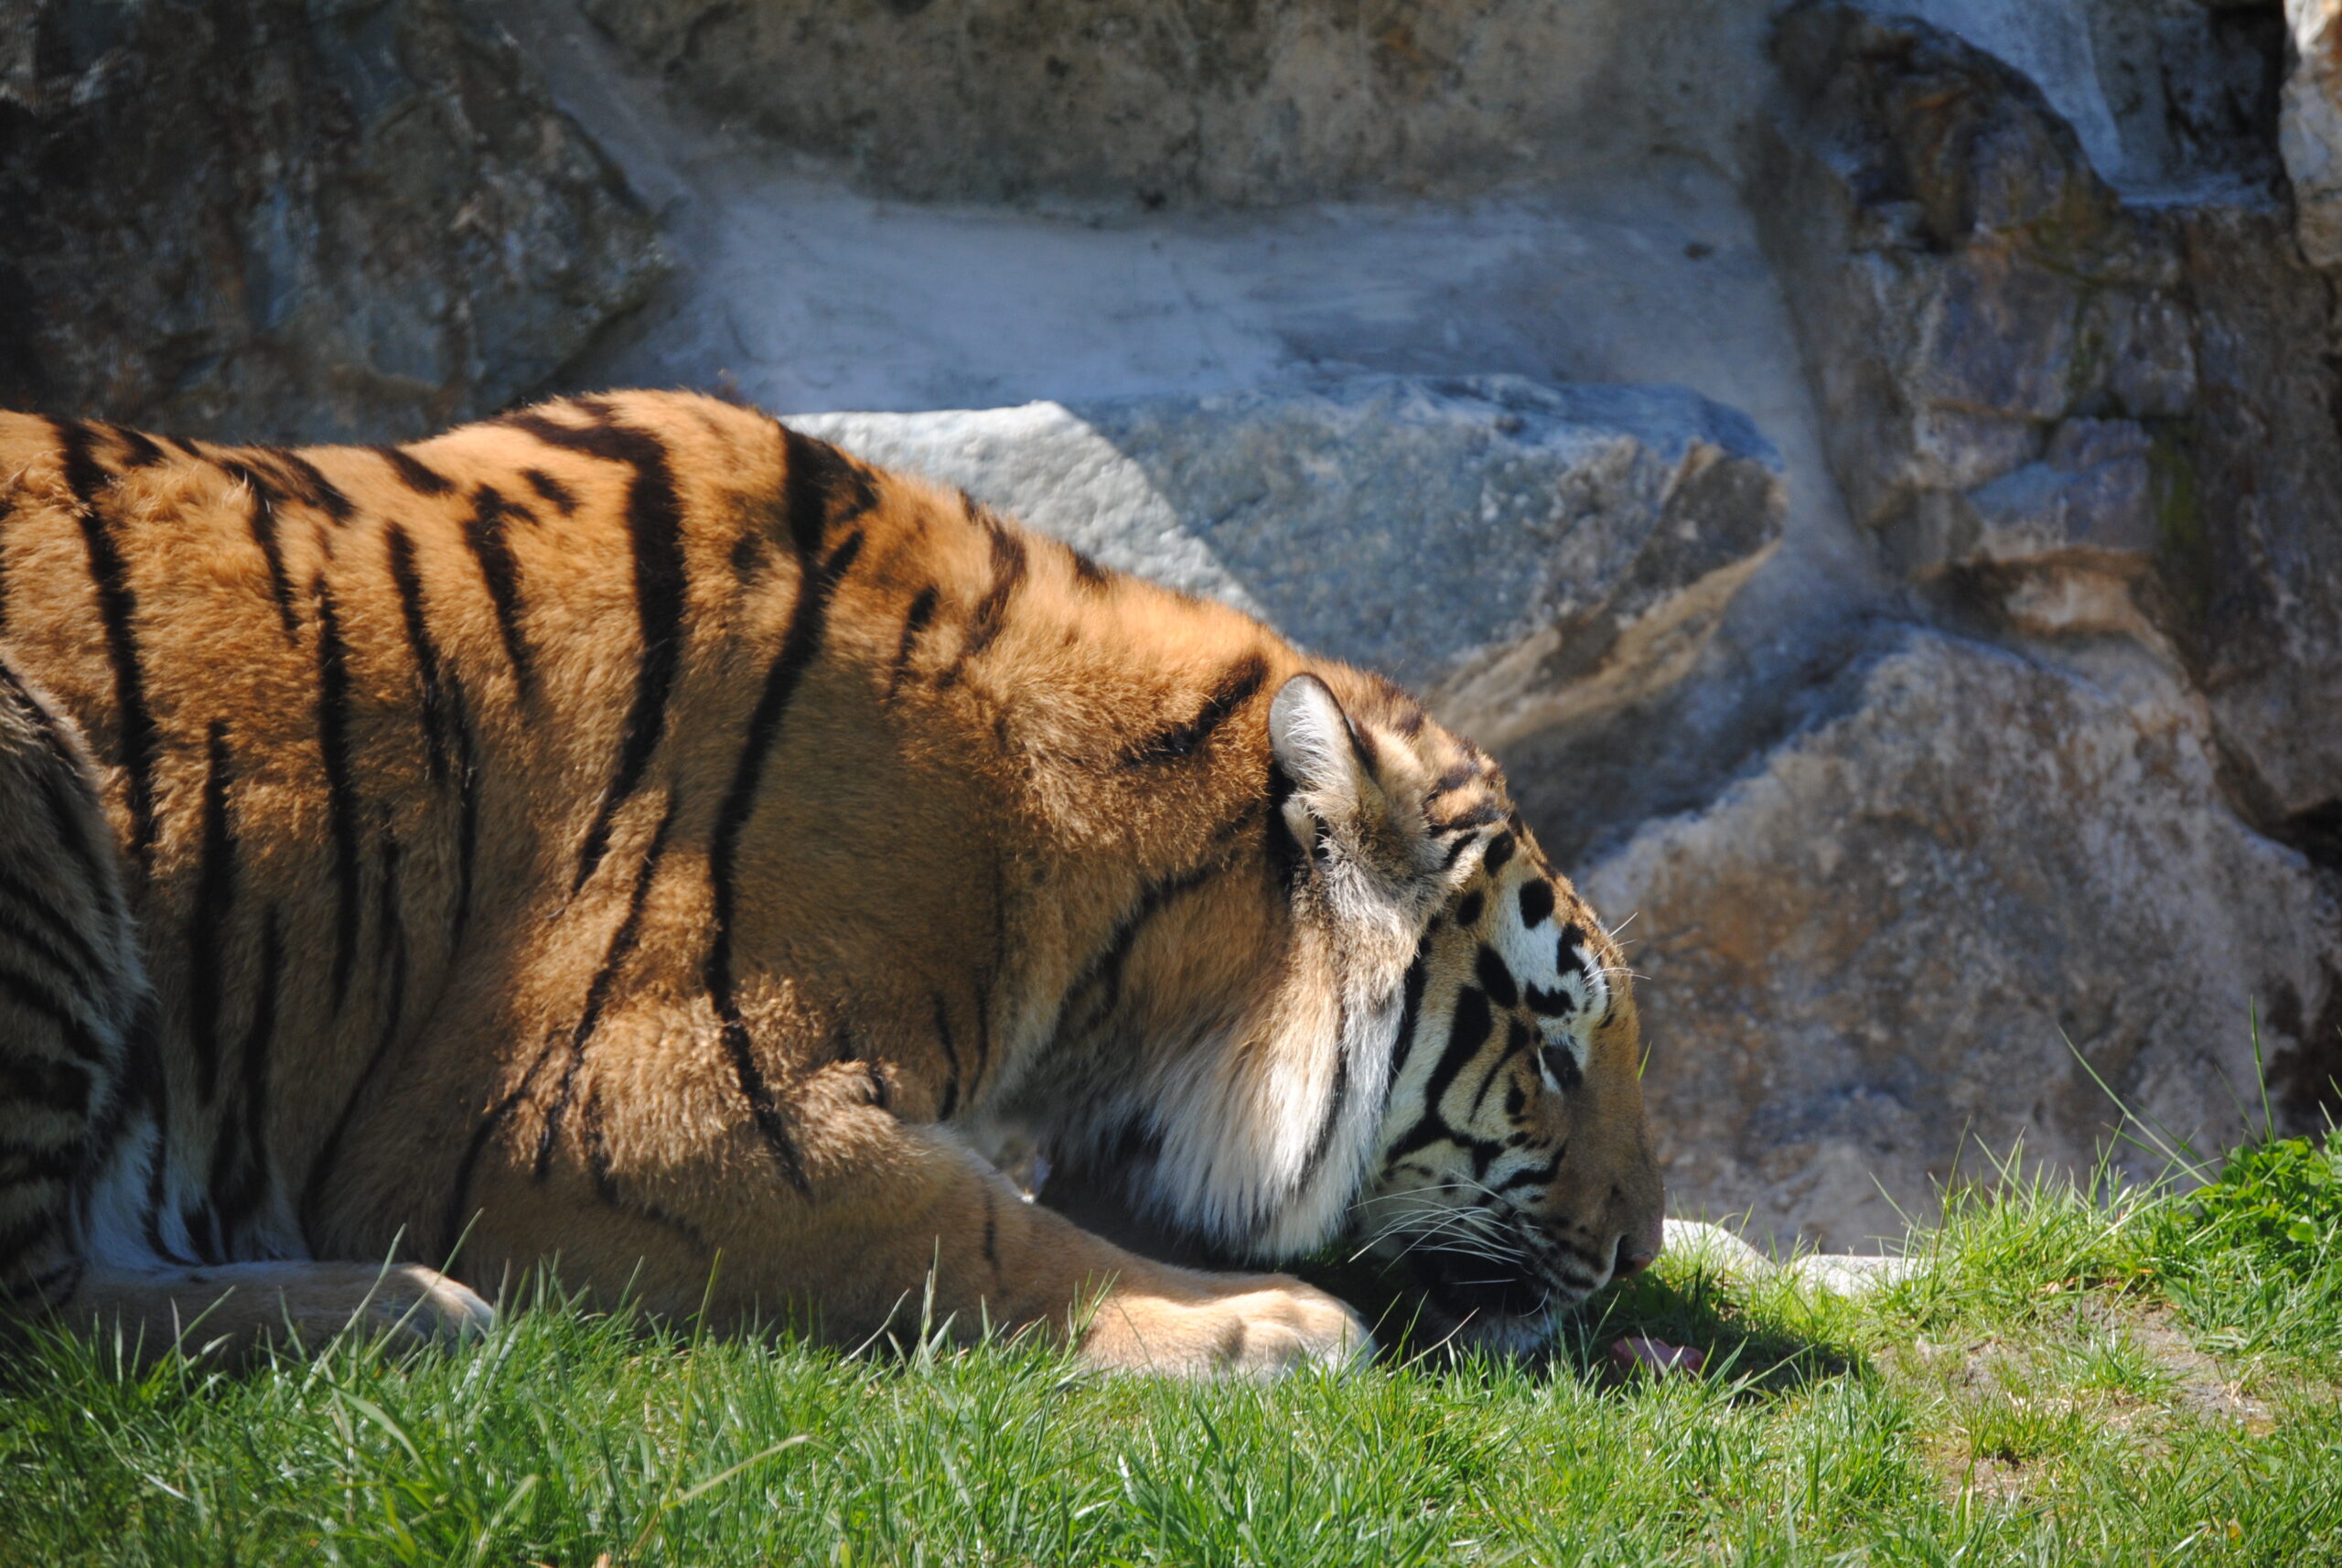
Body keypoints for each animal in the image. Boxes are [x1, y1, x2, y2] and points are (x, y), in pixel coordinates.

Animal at [0, 391, 1667, 1376]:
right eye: (1554, 1049)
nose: (1639, 1253)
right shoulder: (600, 1112)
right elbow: (967, 1223)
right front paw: (1265, 1323)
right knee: (42, 1308)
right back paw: (410, 1307)